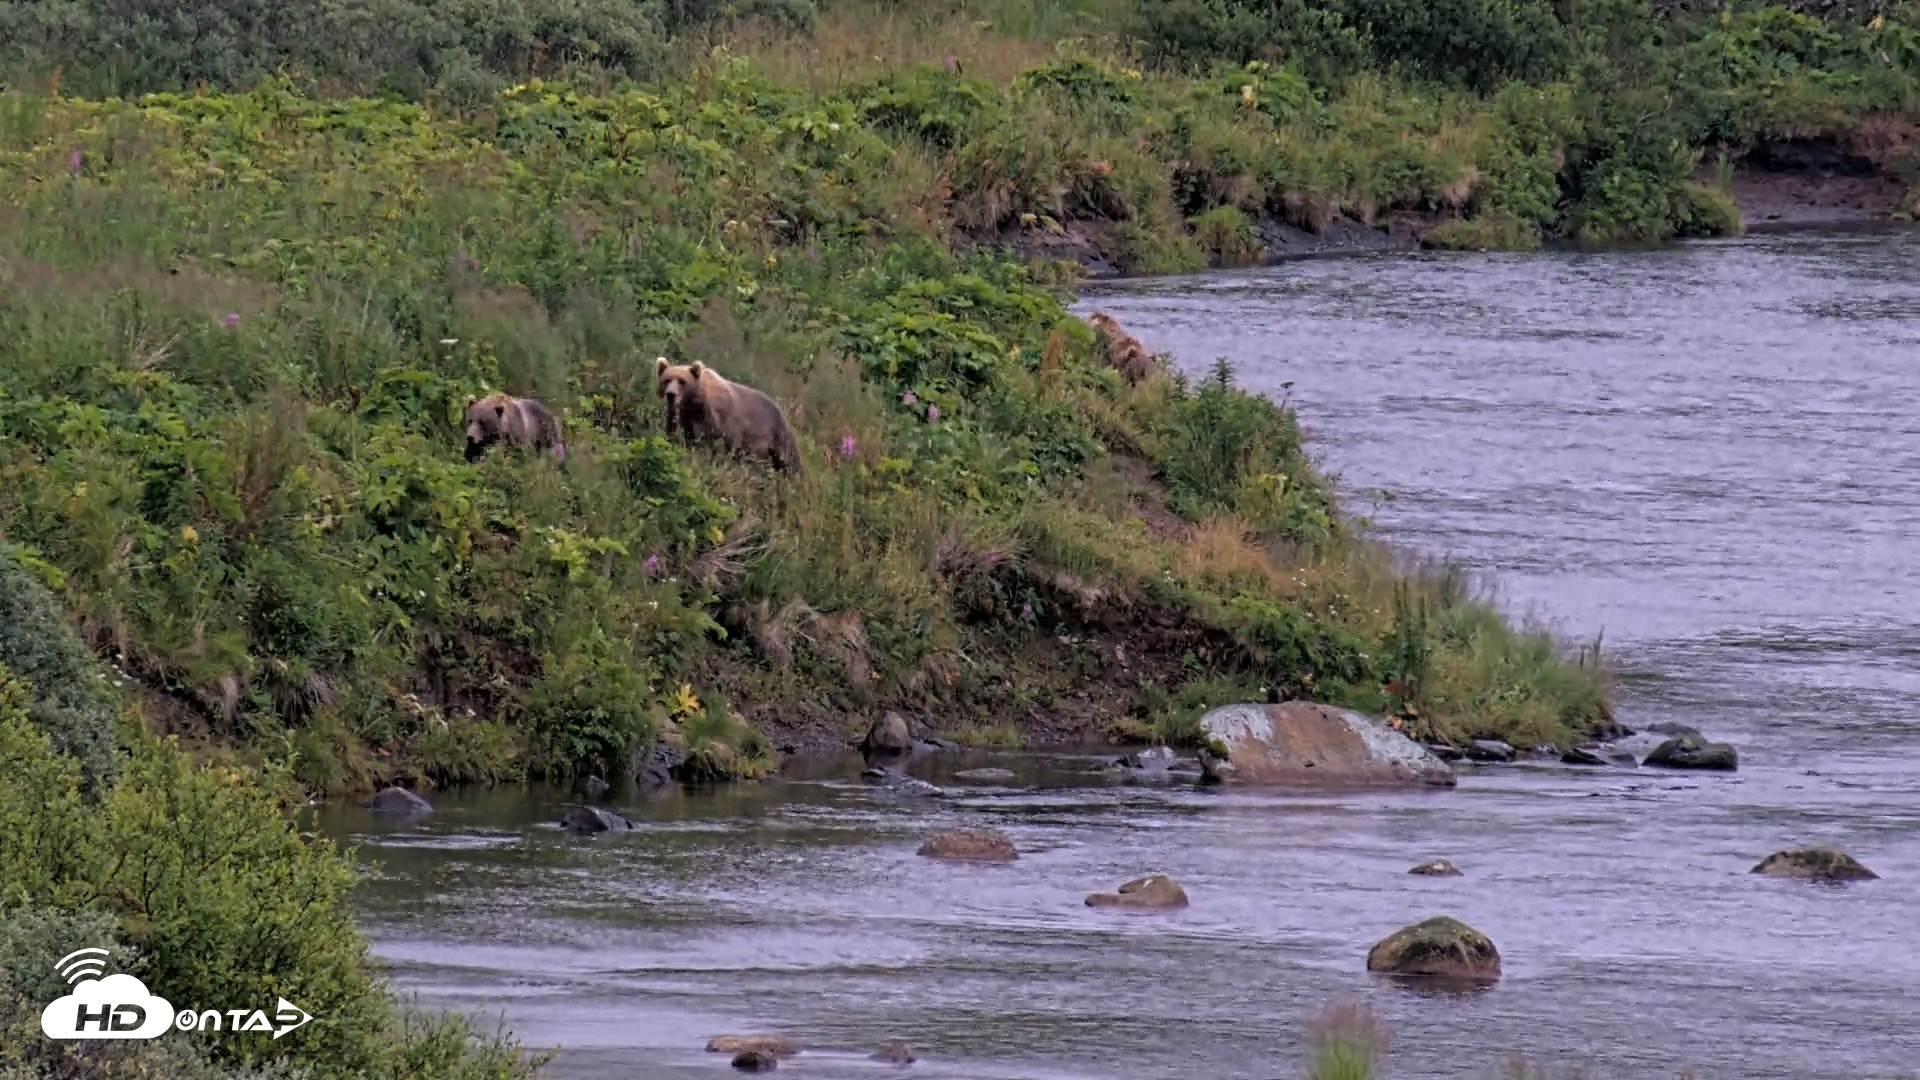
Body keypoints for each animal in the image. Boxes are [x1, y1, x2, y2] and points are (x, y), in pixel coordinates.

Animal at [655, 356, 799, 471]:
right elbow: (689, 437)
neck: (697, 402)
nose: (671, 394)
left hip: (776, 436)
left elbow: (722, 443)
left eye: (682, 381)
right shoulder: (687, 416)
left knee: (789, 464)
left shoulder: (721, 419)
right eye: (667, 380)